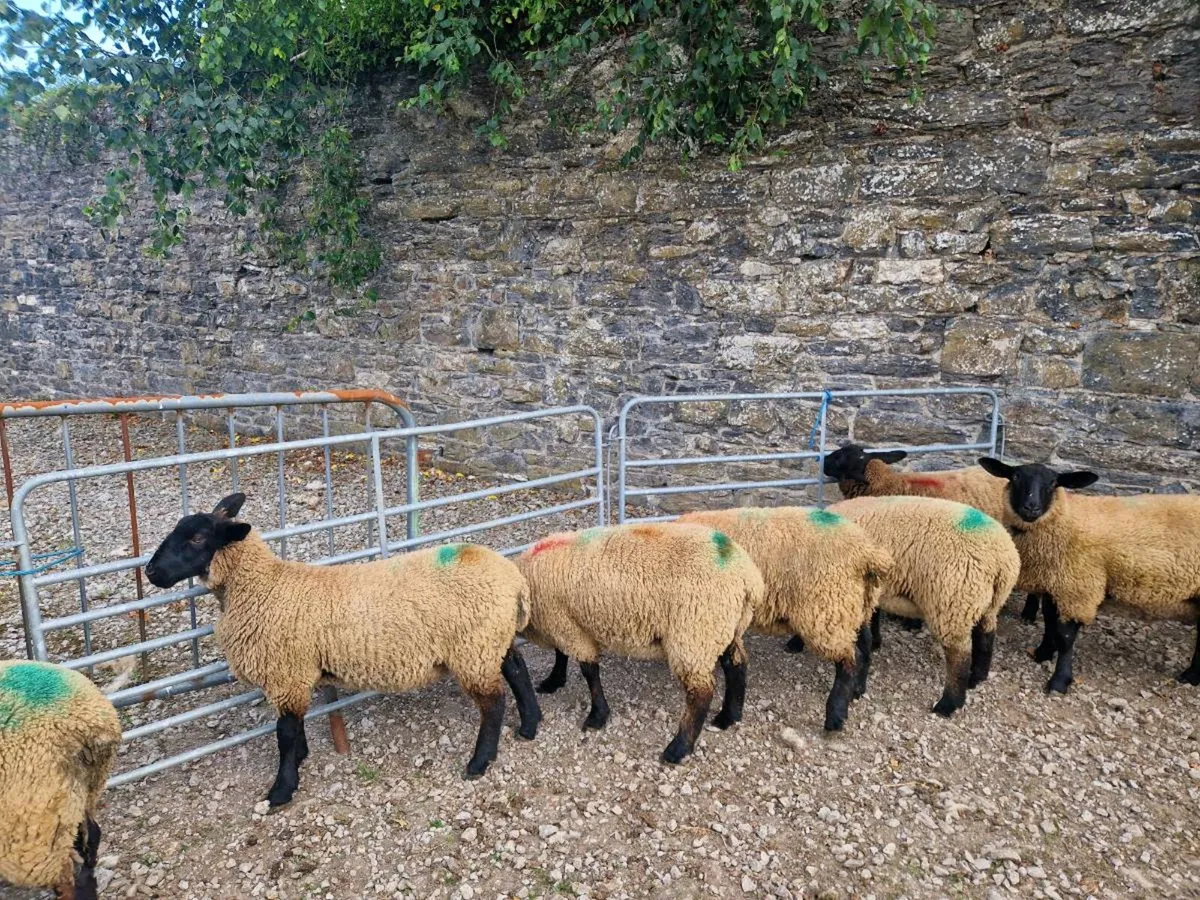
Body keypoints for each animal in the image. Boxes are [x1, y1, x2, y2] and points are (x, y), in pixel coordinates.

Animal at [144, 493, 542, 807]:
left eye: (197, 538)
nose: (150, 572)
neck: (261, 586)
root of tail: (514, 580)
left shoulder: (286, 672)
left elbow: (285, 732)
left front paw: (282, 789)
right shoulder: (294, 674)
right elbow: (292, 726)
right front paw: (300, 759)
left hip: (473, 647)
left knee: (494, 702)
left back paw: (479, 762)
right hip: (490, 640)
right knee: (517, 670)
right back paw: (530, 725)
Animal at [516, 522, 763, 764]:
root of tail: (749, 577)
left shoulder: (565, 624)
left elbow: (589, 671)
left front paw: (597, 716)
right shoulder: (563, 623)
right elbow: (561, 654)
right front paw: (553, 681)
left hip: (693, 633)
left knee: (701, 693)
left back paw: (678, 749)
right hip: (723, 626)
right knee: (736, 666)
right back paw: (728, 717)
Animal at [827, 496, 1021, 717]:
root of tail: (1002, 560)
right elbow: (872, 621)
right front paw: (875, 642)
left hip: (953, 602)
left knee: (959, 658)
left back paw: (948, 705)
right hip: (987, 604)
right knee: (986, 638)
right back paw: (976, 679)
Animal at [978, 458, 1200, 694]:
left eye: (1053, 482)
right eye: (1016, 476)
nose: (1031, 507)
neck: (1065, 522)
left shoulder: (1078, 587)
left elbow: (1065, 637)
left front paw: (1059, 680)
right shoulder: (1054, 585)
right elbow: (1049, 622)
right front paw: (1042, 653)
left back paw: (1190, 676)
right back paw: (1192, 676)